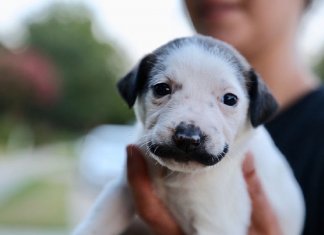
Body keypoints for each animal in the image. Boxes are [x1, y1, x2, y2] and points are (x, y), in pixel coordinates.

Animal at [73, 35, 304, 235]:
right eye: (162, 89)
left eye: (230, 99)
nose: (187, 138)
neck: (176, 175)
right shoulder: (121, 189)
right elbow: (99, 220)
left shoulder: (215, 223)